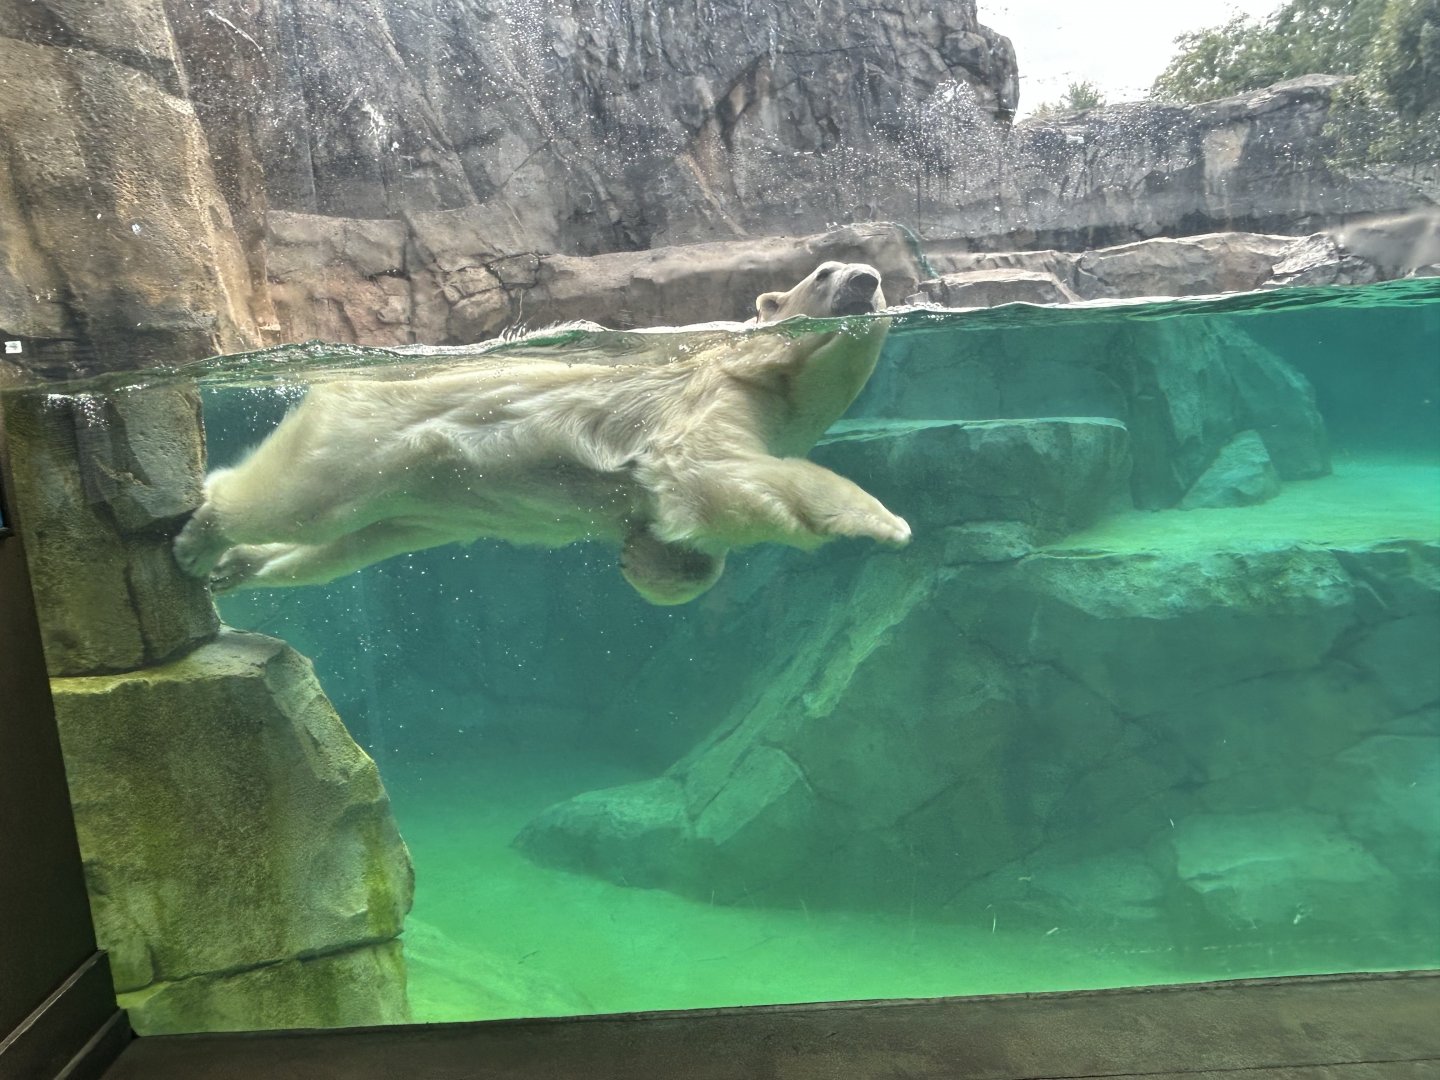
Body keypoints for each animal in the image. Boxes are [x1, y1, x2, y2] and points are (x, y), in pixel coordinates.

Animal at [173, 261, 910, 605]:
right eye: (822, 271)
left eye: (876, 279)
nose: (866, 278)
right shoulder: (711, 397)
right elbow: (703, 470)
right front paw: (883, 521)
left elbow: (671, 521)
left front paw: (649, 562)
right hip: (373, 435)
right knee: (302, 500)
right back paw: (199, 536)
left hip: (422, 505)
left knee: (342, 546)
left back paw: (236, 569)